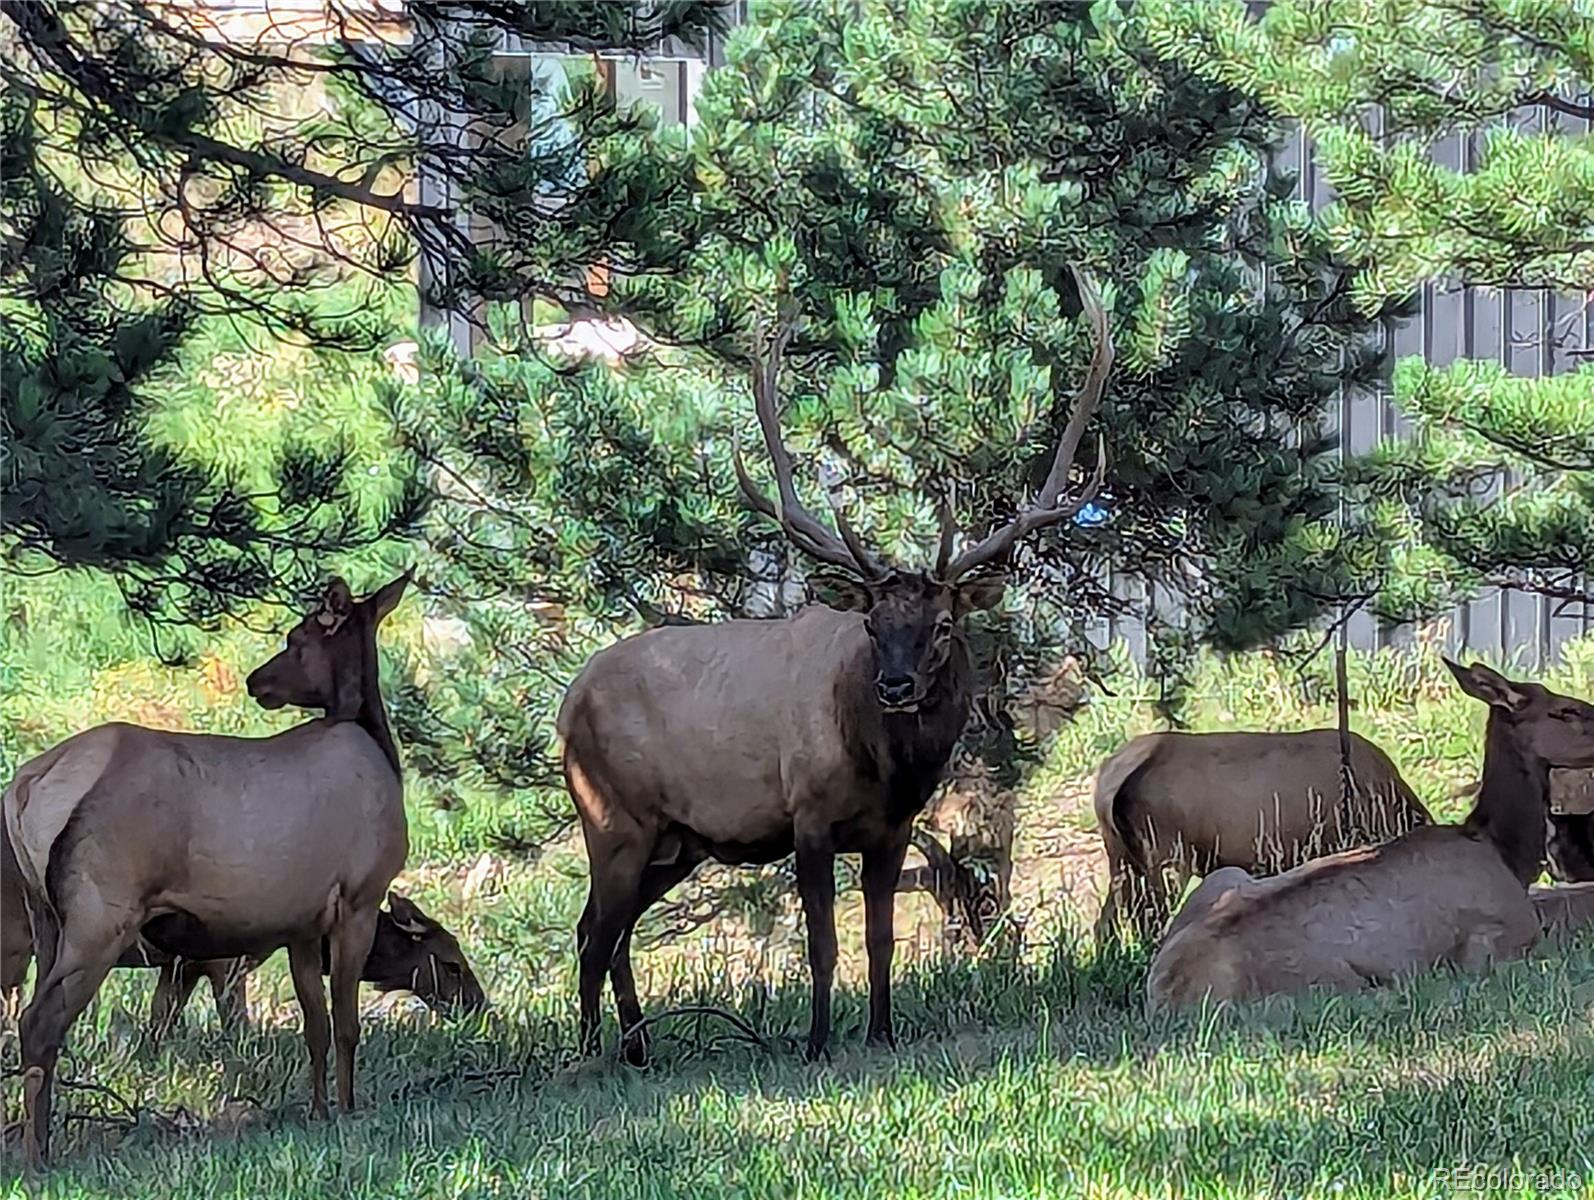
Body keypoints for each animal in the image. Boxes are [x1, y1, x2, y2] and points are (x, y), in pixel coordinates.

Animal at [1, 576, 411, 1166]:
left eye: (295, 638)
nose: (258, 680)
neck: (373, 737)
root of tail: (25, 787)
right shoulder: (360, 897)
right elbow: (346, 1023)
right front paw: (349, 1109)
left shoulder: (302, 925)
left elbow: (314, 1024)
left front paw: (318, 1110)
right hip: (102, 913)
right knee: (40, 1021)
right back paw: (38, 1155)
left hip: (46, 920)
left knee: (28, 1016)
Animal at [554, 269, 1115, 1058]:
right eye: (873, 624)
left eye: (943, 625)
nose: (896, 684)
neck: (882, 768)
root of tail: (566, 706)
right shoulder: (808, 818)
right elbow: (822, 945)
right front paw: (818, 1041)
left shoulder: (895, 830)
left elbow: (880, 939)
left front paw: (883, 1031)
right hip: (612, 816)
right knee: (591, 934)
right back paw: (592, 1052)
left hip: (676, 843)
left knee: (614, 932)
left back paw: (637, 1048)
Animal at [1147, 659, 1594, 1013]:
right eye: (1565, 710)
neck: (1505, 851)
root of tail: (1170, 989)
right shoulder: (1494, 942)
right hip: (1334, 981)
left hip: (1224, 877)